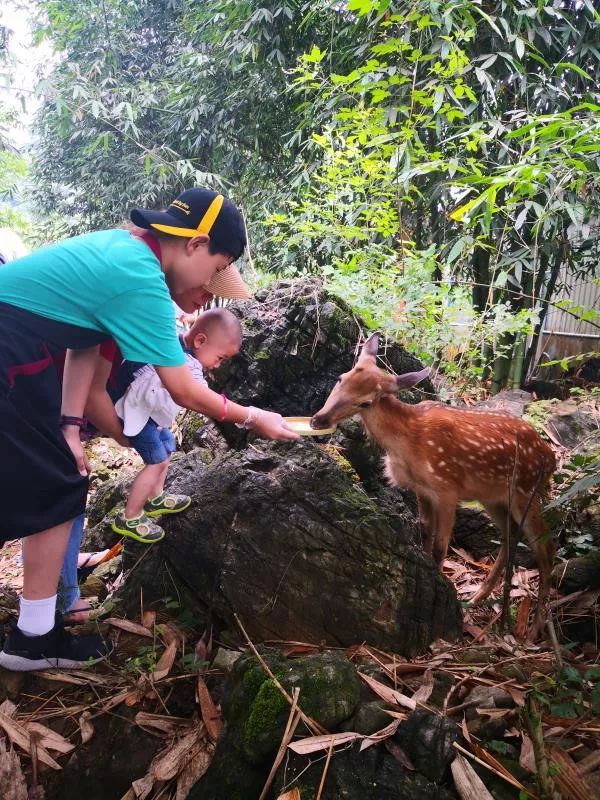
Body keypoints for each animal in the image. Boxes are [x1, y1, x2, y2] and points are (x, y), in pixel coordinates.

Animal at [312, 332, 556, 636]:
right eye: (341, 378)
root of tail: (551, 457)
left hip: (527, 492)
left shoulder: (448, 488)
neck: (408, 443)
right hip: (494, 497)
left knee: (546, 548)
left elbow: (441, 545)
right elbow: (425, 532)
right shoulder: (422, 490)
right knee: (511, 536)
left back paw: (534, 628)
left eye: (366, 402)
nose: (318, 419)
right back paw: (479, 596)